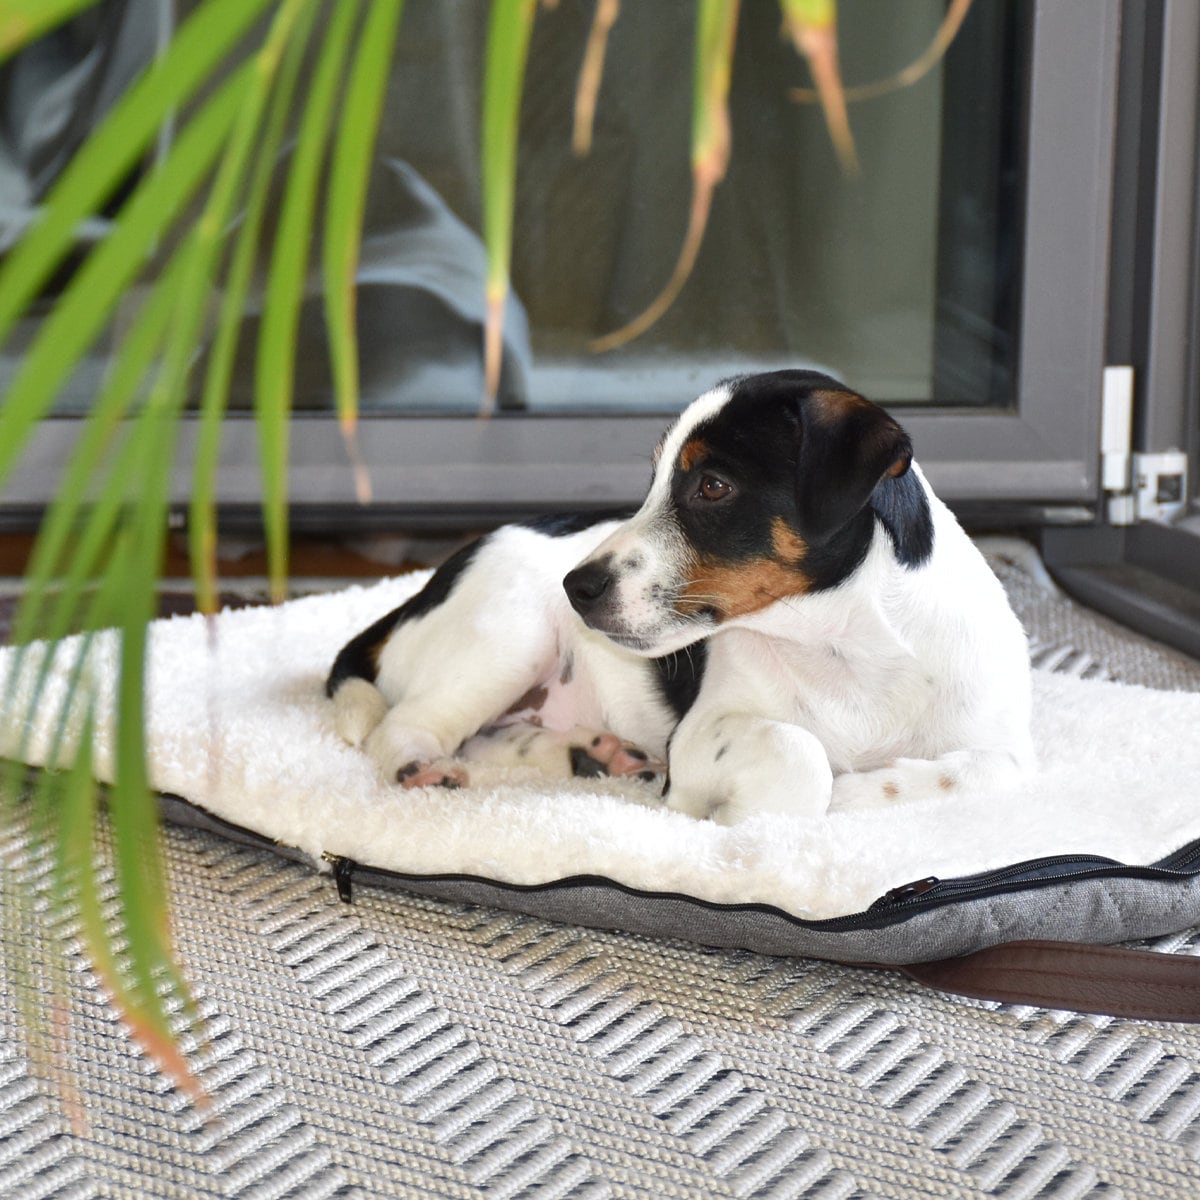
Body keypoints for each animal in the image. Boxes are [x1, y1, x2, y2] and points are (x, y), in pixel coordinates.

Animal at [326, 372, 1032, 825]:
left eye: (712, 485)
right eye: (655, 481)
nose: (577, 588)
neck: (843, 648)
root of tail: (427, 585)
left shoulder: (1004, 751)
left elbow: (970, 771)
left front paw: (865, 791)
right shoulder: (697, 740)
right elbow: (801, 756)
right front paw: (805, 802)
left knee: (491, 738)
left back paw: (591, 752)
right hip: (507, 638)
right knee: (402, 727)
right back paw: (422, 767)